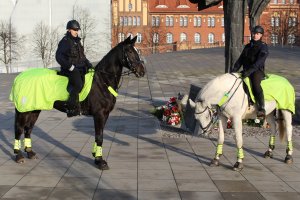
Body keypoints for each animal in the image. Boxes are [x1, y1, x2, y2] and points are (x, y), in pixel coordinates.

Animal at [12, 35, 145, 169]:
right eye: (130, 51)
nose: (142, 71)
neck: (102, 81)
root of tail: (19, 78)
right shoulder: (99, 115)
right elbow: (99, 137)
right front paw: (100, 161)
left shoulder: (105, 115)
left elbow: (98, 136)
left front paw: (95, 156)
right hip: (24, 111)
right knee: (19, 129)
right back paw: (19, 156)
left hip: (34, 109)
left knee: (28, 129)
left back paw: (30, 153)